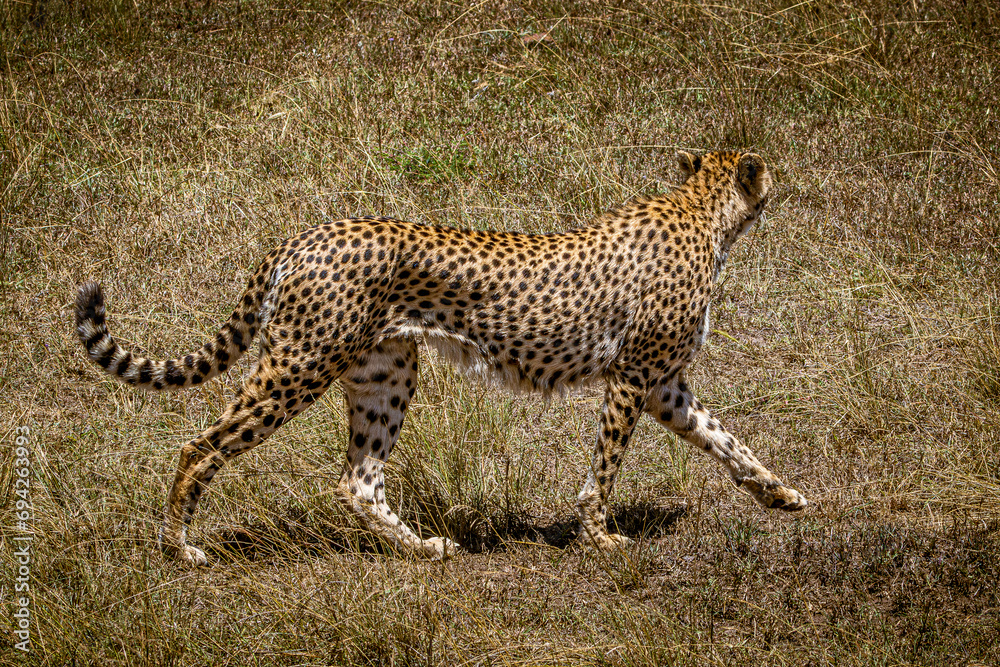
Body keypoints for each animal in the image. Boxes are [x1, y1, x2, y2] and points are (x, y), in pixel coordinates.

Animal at [74, 149, 806, 566]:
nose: (779, 179)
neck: (703, 210)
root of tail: (309, 233)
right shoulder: (631, 377)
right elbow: (606, 467)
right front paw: (599, 537)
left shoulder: (662, 384)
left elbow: (727, 439)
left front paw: (779, 491)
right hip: (300, 364)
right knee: (199, 447)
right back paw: (181, 547)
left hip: (385, 373)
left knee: (358, 480)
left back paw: (424, 549)